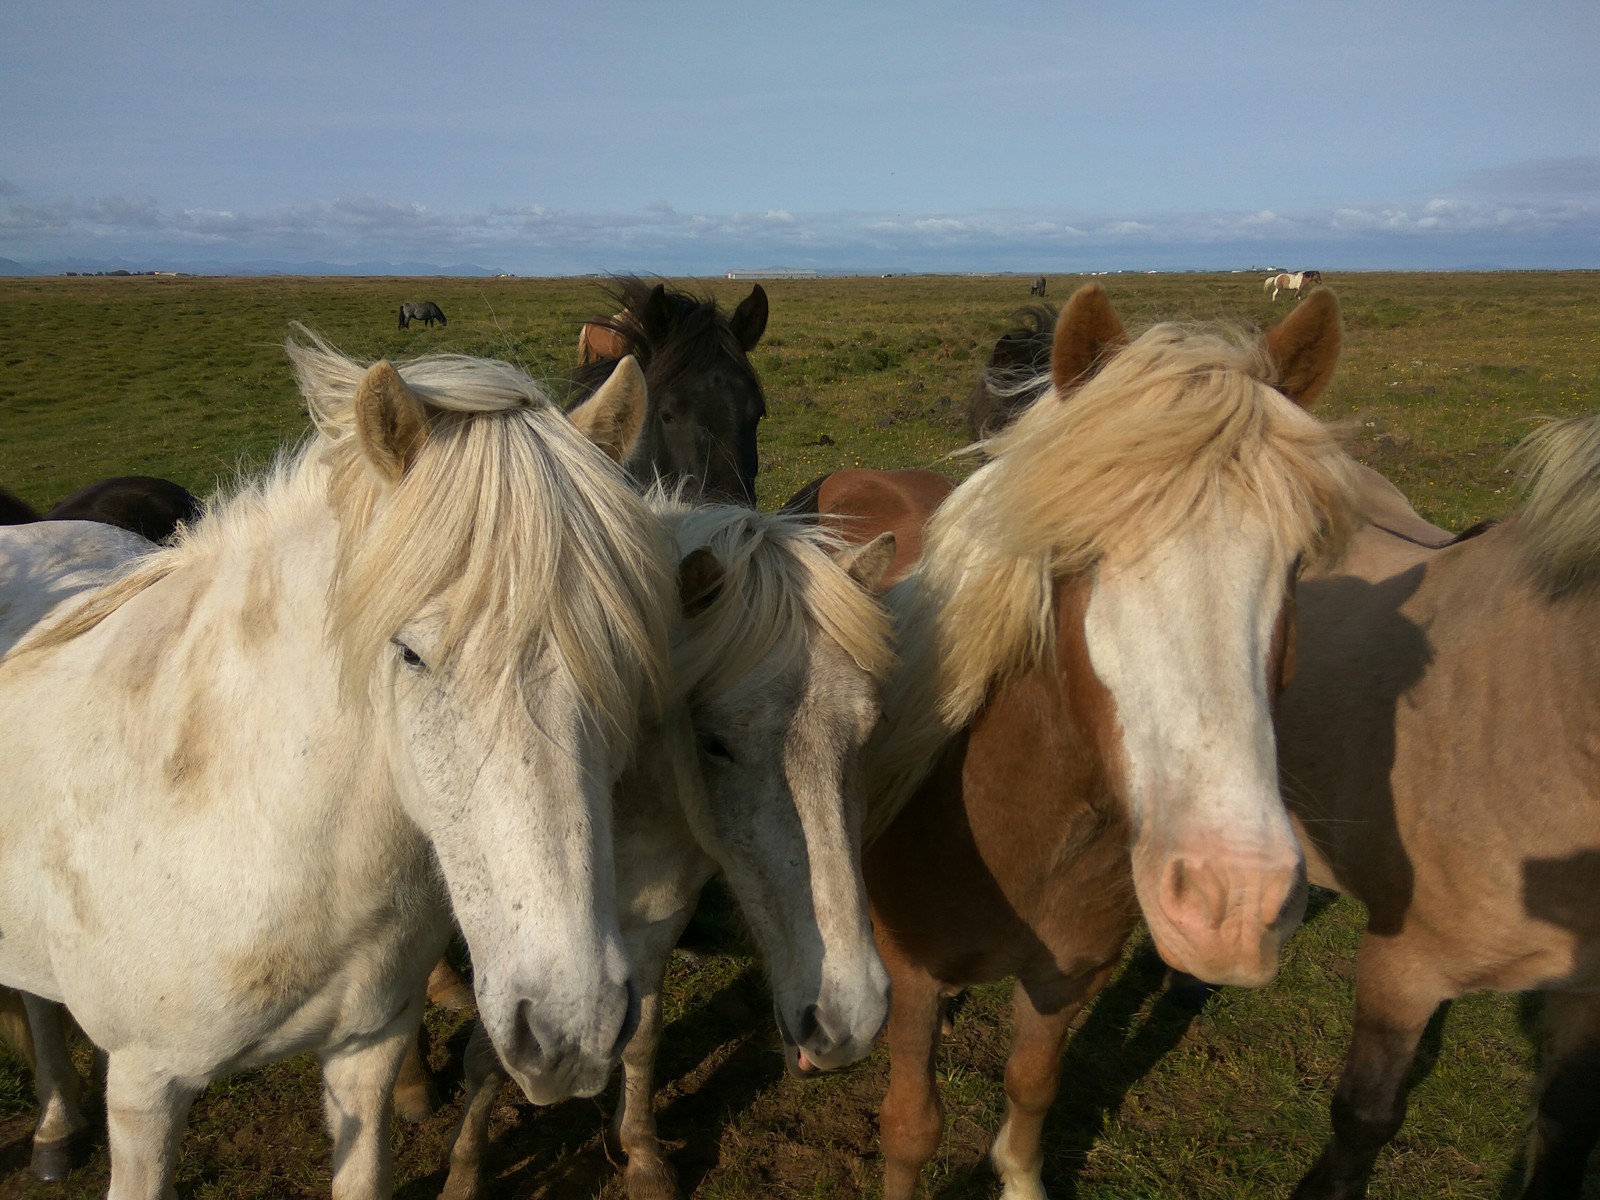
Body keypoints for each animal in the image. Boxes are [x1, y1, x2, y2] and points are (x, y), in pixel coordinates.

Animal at [432, 364, 902, 1200]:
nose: (848, 1020)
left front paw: (644, 1155)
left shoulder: (655, 919)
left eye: (870, 729)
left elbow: (644, 1035)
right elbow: (489, 1055)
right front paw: (462, 1175)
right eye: (714, 742)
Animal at [812, 286, 1363, 1196]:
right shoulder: (914, 981)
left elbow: (1033, 1086)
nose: (1232, 902)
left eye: (1296, 562)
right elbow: (911, 1127)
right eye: (1084, 554)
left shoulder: (1068, 973)